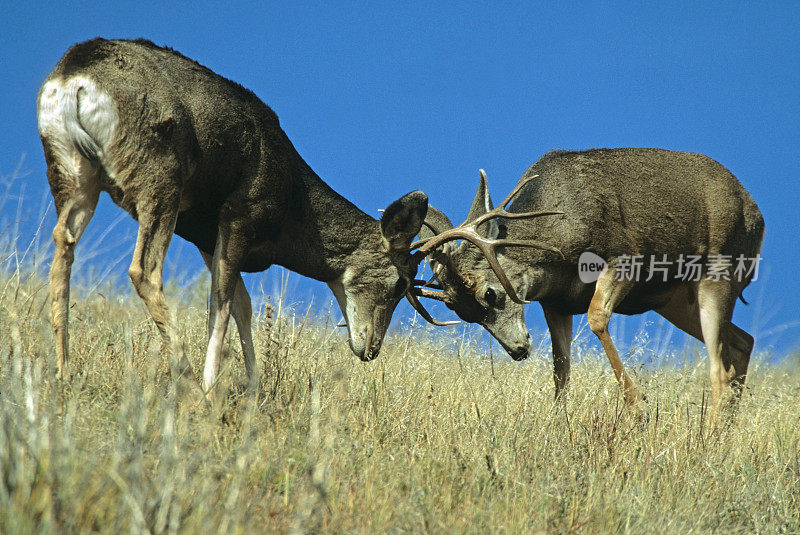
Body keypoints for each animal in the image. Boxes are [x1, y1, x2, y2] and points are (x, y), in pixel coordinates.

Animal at [416, 149, 764, 412]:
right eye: (463, 315)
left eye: (490, 294)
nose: (518, 351)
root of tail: (756, 214)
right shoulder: (555, 302)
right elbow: (561, 370)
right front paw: (559, 423)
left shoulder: (623, 257)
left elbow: (597, 317)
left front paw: (637, 403)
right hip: (672, 300)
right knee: (743, 343)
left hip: (719, 271)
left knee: (721, 372)